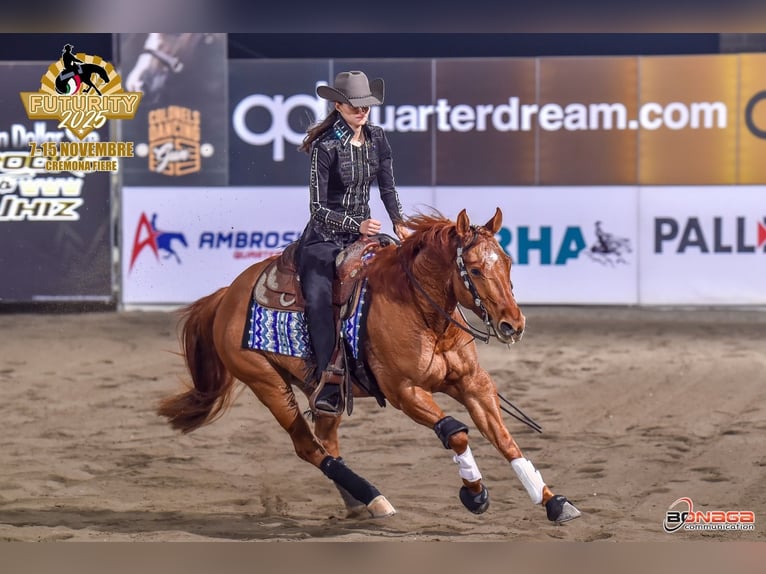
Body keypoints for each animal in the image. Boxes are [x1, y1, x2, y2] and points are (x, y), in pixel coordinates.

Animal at [157, 208, 581, 524]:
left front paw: (554, 501)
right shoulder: (404, 391)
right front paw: (475, 495)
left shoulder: (473, 383)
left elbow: (504, 438)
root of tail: (227, 295)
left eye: (508, 262)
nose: (514, 324)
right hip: (267, 384)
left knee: (327, 444)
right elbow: (455, 433)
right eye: (475, 269)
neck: (423, 313)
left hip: (325, 393)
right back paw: (375, 498)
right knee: (309, 448)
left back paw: (359, 502)